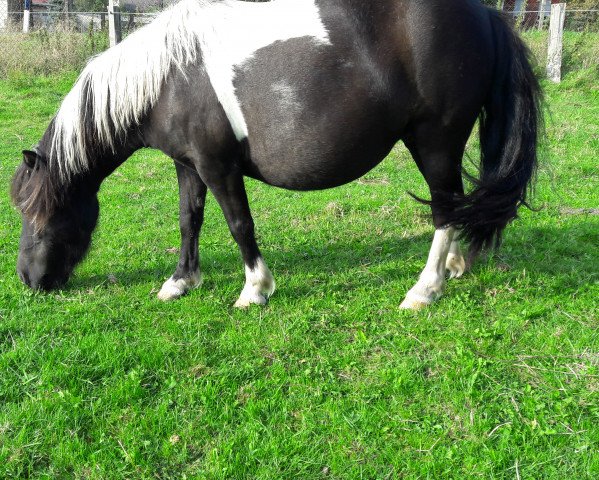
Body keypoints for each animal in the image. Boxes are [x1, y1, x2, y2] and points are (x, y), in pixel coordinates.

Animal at [9, 0, 544, 310]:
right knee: (453, 204)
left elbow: (238, 224)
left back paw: (425, 288)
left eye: (40, 212)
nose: (29, 280)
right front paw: (181, 281)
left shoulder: (217, 165)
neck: (171, 76)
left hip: (435, 141)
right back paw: (454, 266)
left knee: (444, 208)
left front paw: (255, 290)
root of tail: (486, 15)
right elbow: (189, 220)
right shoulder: (188, 164)